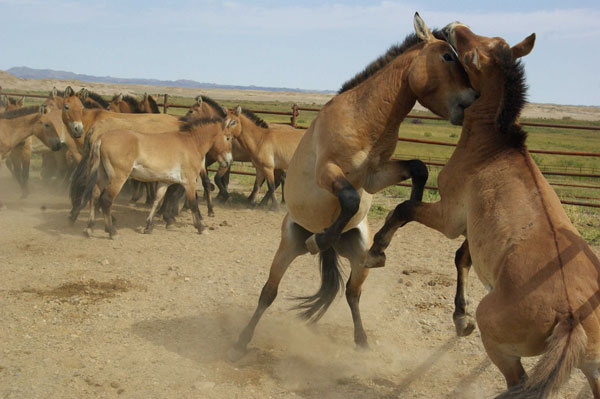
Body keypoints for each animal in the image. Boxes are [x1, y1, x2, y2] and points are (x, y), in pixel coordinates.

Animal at [71, 117, 237, 239]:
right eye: (228, 138)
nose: (229, 161)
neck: (191, 143)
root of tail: (101, 138)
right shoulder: (189, 182)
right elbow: (193, 204)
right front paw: (201, 227)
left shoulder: (165, 182)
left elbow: (157, 201)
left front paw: (148, 226)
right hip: (118, 178)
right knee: (106, 200)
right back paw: (111, 231)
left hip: (103, 176)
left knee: (94, 195)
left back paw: (89, 228)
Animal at [230, 14, 478, 360]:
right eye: (447, 56)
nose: (474, 99)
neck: (364, 119)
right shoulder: (328, 173)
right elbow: (348, 198)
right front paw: (319, 239)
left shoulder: (375, 175)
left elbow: (418, 169)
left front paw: (394, 231)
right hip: (287, 247)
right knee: (269, 292)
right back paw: (242, 339)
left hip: (357, 257)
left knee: (351, 293)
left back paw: (362, 335)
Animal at [366, 22, 600, 399]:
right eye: (490, 39)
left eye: (472, 54)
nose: (452, 27)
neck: (491, 149)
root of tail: (569, 316)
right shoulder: (470, 228)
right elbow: (461, 258)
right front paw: (460, 318)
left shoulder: (448, 218)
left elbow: (403, 209)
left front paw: (376, 250)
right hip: (594, 370)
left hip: (500, 345)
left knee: (517, 381)